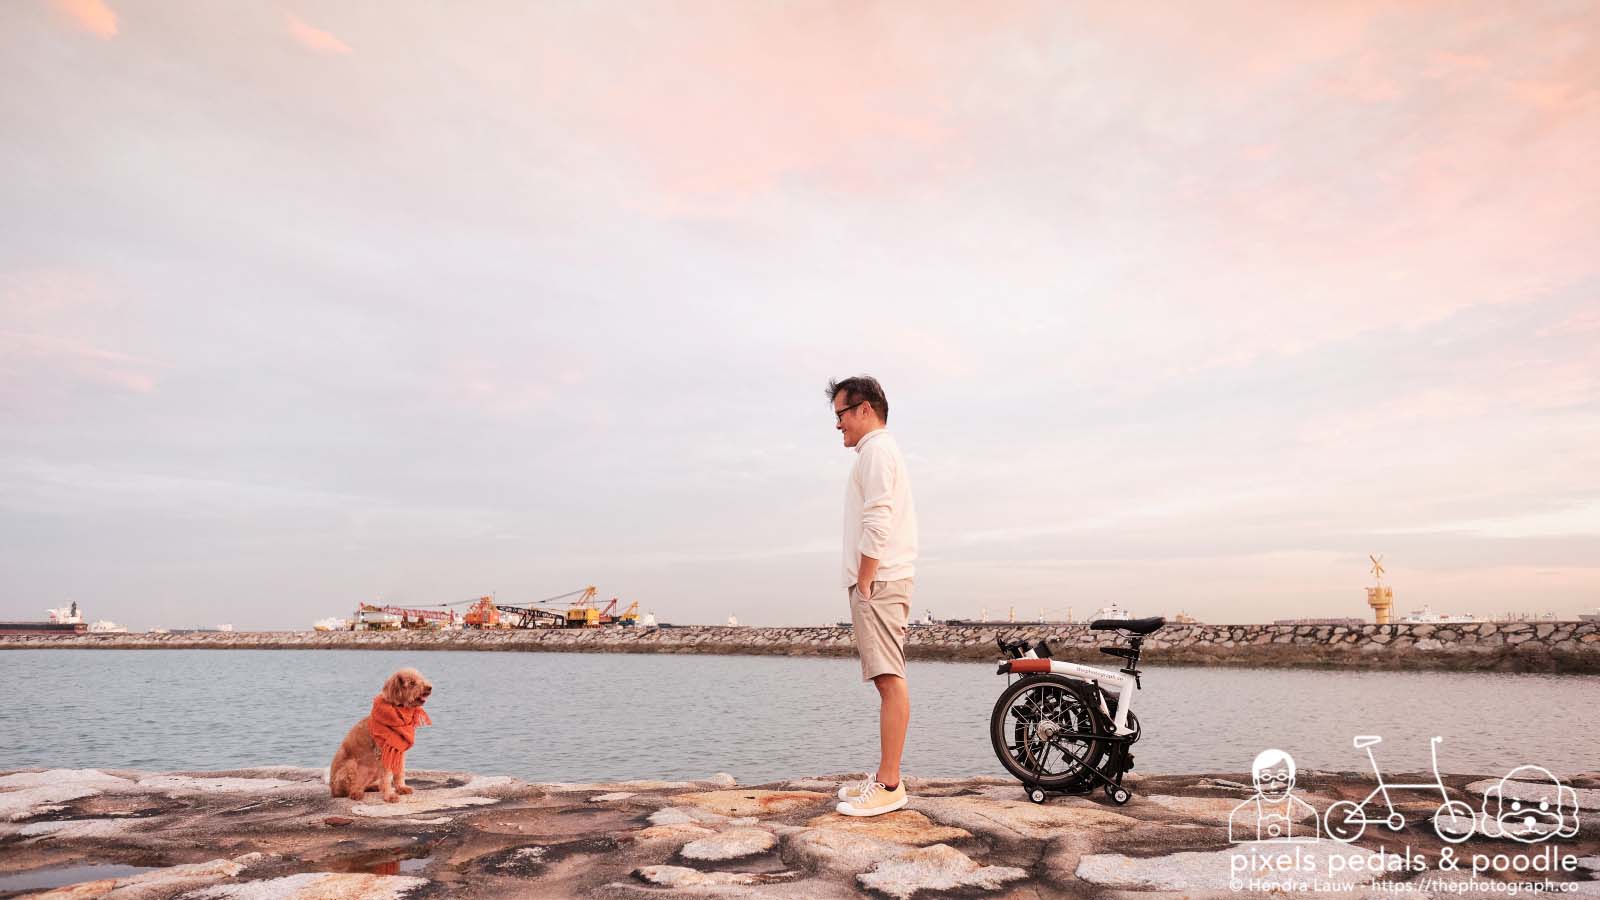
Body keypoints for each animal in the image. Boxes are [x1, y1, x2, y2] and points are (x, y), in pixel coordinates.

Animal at [329, 666, 432, 797]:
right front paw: (389, 795)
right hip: (352, 766)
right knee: (350, 789)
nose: (429, 687)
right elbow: (387, 777)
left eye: (421, 678)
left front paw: (401, 788)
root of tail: (332, 790)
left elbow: (399, 773)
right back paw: (356, 793)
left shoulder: (397, 752)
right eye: (412, 683)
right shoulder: (384, 753)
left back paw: (371, 787)